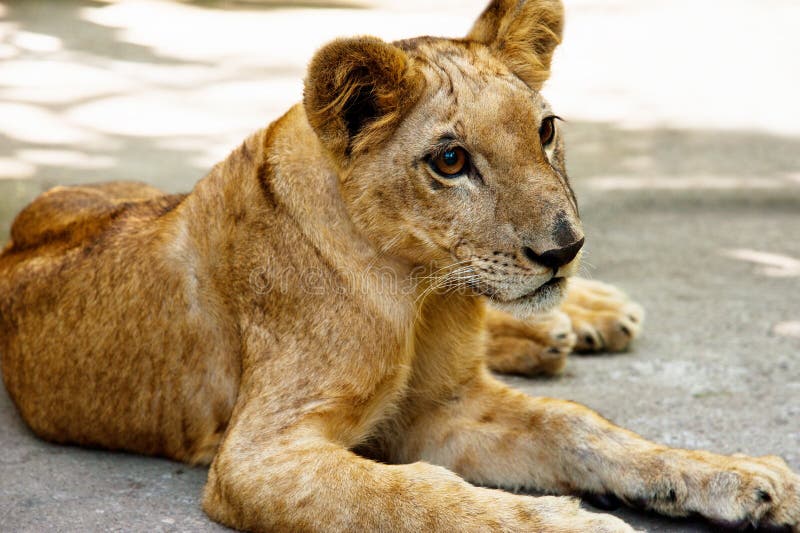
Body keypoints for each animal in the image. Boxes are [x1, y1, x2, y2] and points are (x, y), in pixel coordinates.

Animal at [1, 0, 798, 531]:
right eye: (449, 161)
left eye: (544, 131)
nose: (563, 248)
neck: (426, 294)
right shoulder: (260, 456)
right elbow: (420, 493)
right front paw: (578, 523)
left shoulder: (449, 408)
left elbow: (582, 427)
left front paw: (742, 476)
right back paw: (559, 332)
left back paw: (584, 317)